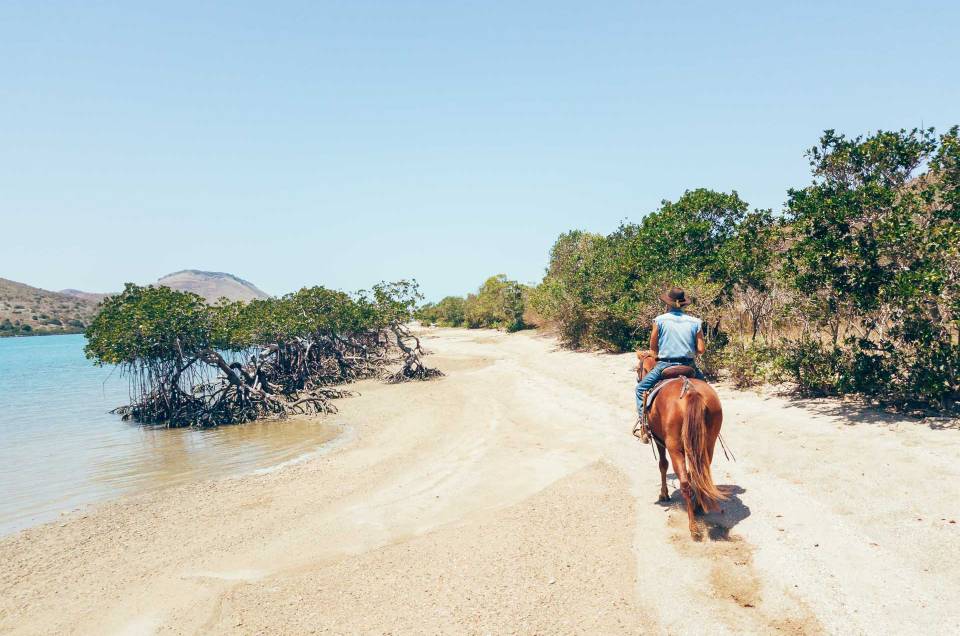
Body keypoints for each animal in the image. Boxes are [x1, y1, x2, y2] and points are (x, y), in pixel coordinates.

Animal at [636, 350, 728, 540]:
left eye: (637, 369)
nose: (638, 379)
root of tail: (690, 391)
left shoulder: (660, 440)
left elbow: (663, 465)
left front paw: (664, 494)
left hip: (675, 447)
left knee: (685, 482)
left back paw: (693, 527)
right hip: (707, 444)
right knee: (700, 473)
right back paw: (698, 507)